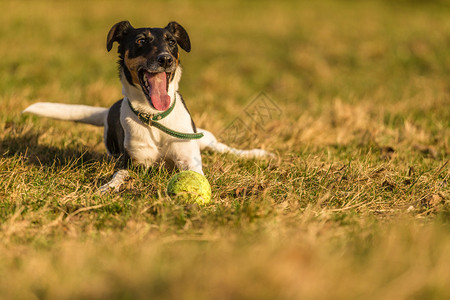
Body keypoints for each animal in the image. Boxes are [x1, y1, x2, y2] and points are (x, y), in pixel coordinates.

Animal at [24, 20, 274, 192]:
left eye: (172, 42)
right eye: (140, 41)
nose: (166, 59)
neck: (156, 117)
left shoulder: (188, 158)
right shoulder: (133, 161)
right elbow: (119, 175)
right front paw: (108, 187)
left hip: (202, 135)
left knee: (221, 147)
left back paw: (257, 154)